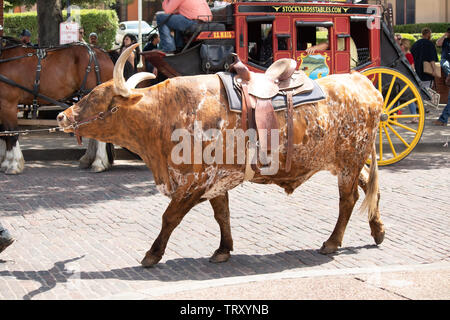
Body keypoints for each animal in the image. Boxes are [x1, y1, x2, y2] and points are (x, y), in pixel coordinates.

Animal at [0, 38, 114, 176]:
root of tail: (102, 52)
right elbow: (4, 134)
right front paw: (5, 163)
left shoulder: (8, 103)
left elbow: (11, 133)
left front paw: (14, 165)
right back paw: (88, 160)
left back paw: (98, 163)